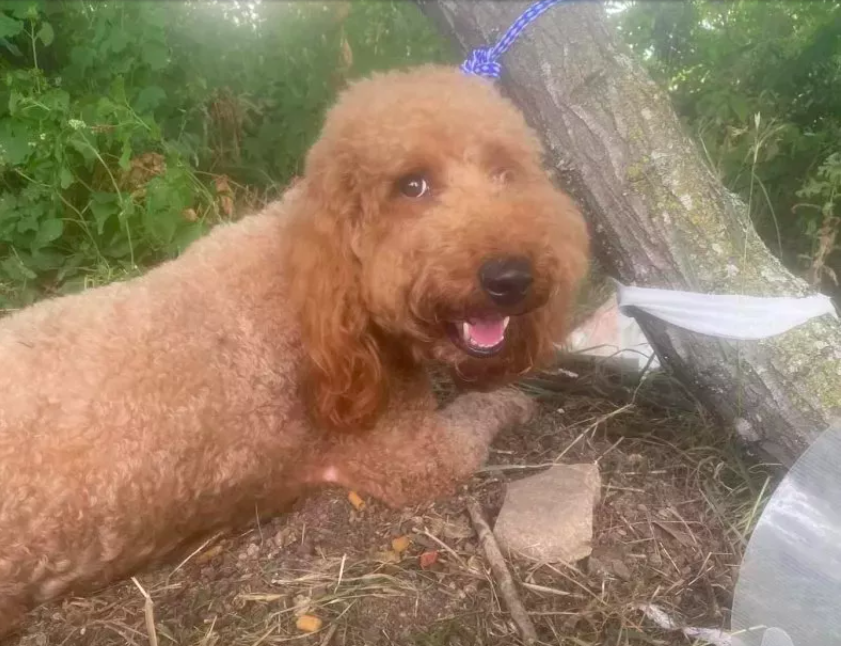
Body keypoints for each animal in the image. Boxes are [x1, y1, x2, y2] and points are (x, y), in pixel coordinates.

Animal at [0, 67, 588, 636]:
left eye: (504, 172)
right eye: (411, 185)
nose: (511, 276)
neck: (320, 284)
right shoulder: (412, 458)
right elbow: (480, 411)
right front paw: (515, 400)